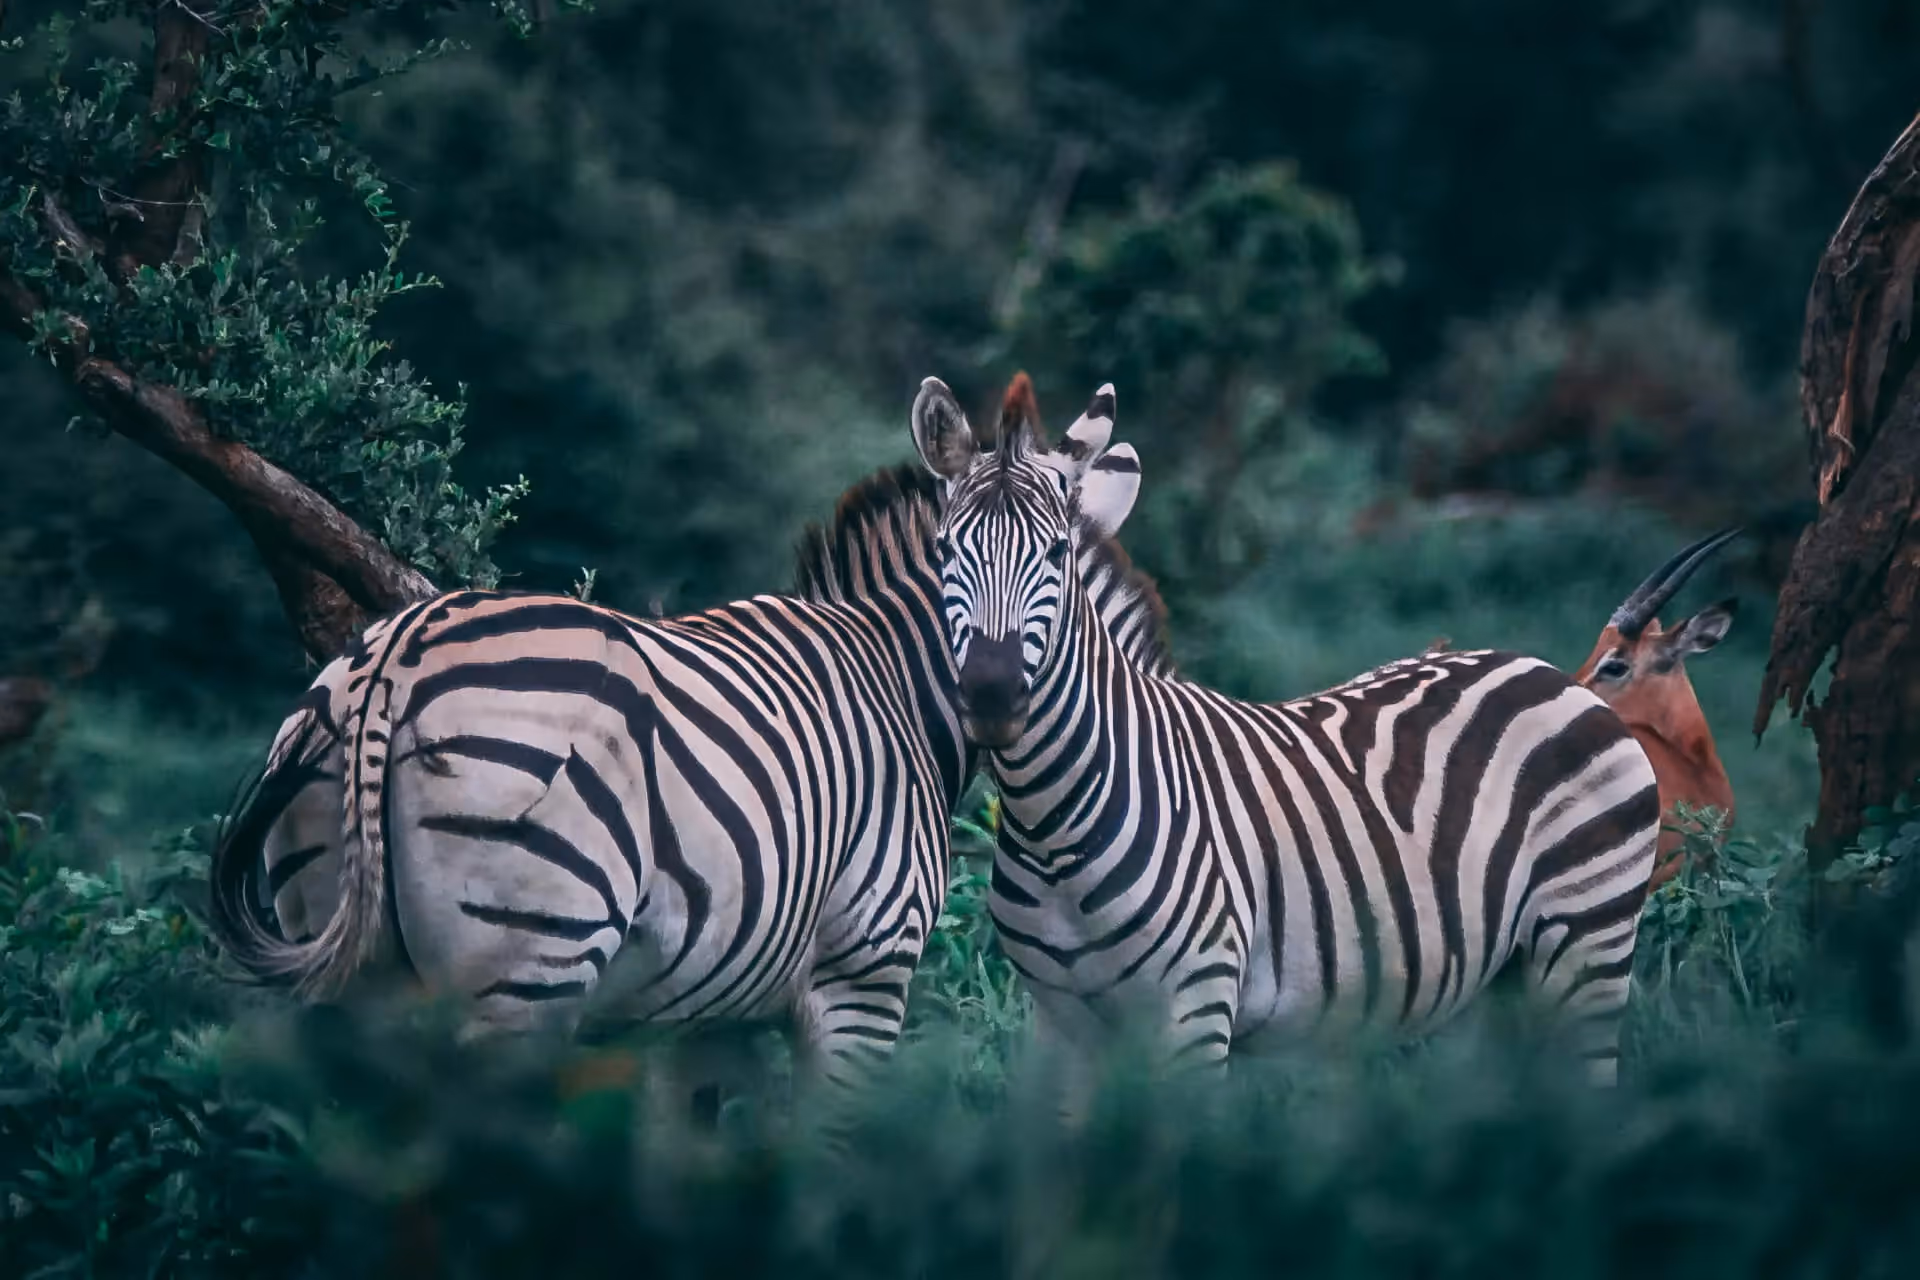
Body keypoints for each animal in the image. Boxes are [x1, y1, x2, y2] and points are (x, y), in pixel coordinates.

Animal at [208, 395, 1166, 1117]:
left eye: (1053, 559)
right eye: (950, 555)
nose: (994, 695)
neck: (899, 679)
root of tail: (395, 656)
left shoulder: (706, 1012)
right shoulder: (864, 975)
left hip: (347, 952)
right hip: (526, 967)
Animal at [907, 374, 1662, 1105]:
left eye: (1057, 553)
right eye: (944, 550)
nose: (992, 695)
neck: (1054, 828)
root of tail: (1546, 672)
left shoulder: (1196, 1008)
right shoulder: (1062, 1026)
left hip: (1588, 943)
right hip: (1494, 981)